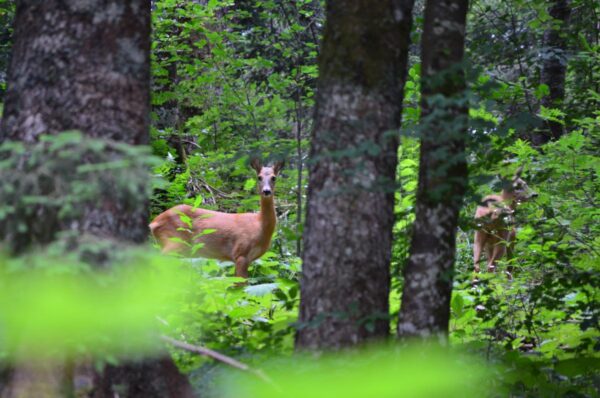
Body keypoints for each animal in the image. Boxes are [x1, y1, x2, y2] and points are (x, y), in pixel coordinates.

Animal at [149, 158, 282, 276]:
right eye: (259, 177)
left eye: (273, 177)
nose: (266, 191)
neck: (259, 225)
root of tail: (154, 223)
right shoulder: (240, 253)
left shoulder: (247, 259)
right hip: (173, 241)